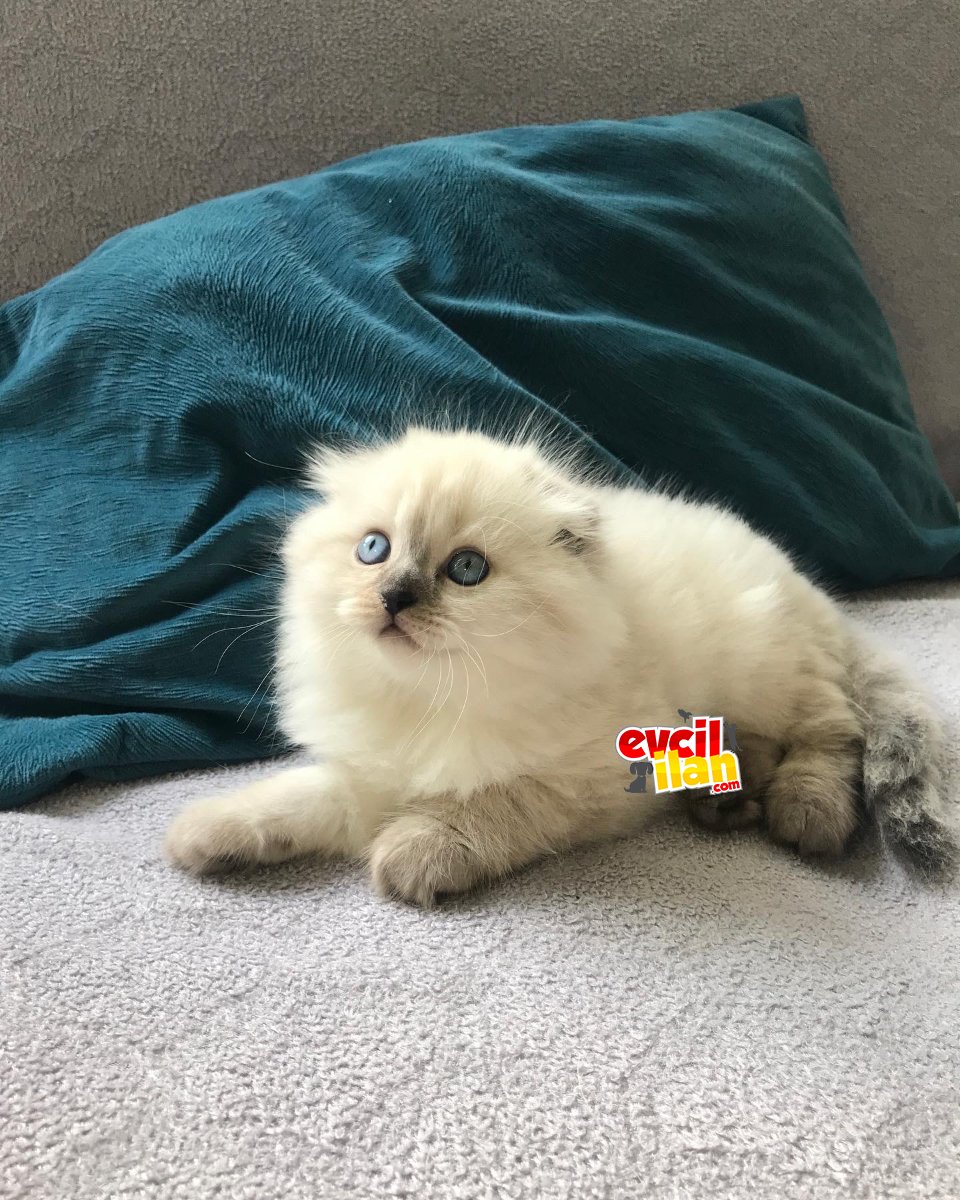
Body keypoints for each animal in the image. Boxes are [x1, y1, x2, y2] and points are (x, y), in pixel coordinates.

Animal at [163, 427, 950, 902]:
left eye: (467, 570)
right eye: (373, 550)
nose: (393, 598)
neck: (426, 701)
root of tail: (803, 581)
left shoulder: (587, 781)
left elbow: (487, 807)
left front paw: (414, 851)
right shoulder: (370, 770)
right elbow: (297, 799)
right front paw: (209, 834)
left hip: (769, 669)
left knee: (832, 732)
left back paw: (804, 812)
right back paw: (725, 803)